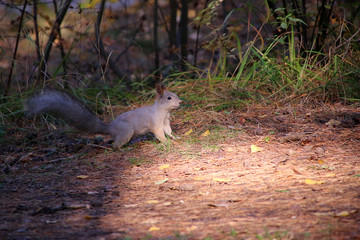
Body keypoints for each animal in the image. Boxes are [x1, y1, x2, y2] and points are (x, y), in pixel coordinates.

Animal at [25, 84, 181, 148]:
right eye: (169, 98)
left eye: (175, 94)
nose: (180, 101)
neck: (163, 111)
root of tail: (111, 127)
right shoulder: (155, 123)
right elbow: (159, 133)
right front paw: (166, 142)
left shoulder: (166, 122)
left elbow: (168, 130)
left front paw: (175, 138)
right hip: (127, 131)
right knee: (115, 145)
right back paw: (121, 148)